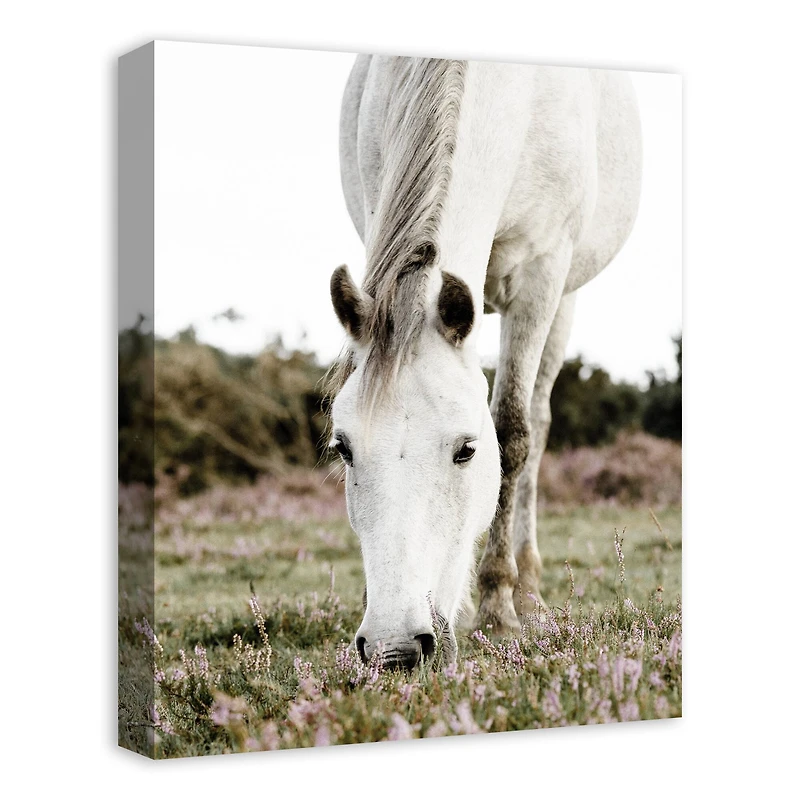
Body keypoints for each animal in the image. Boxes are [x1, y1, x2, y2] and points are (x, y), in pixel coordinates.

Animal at [328, 56, 642, 669]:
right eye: (343, 448)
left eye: (466, 451)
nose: (395, 649)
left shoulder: (542, 274)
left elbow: (515, 434)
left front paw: (498, 607)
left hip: (564, 299)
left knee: (537, 425)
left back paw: (528, 591)